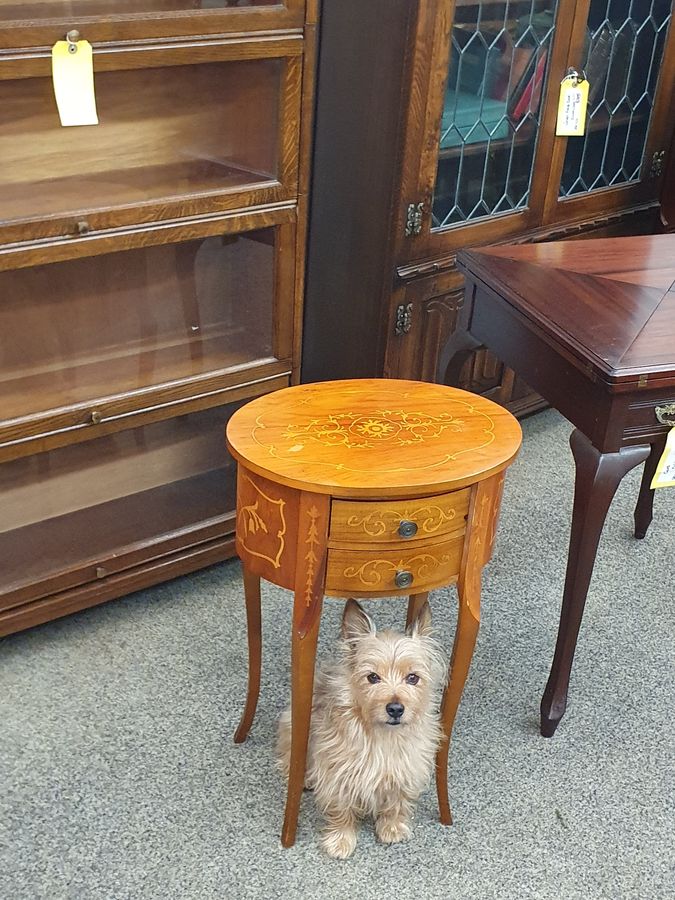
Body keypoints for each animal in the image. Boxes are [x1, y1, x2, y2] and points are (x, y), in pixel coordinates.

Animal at [278, 596, 446, 856]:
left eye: (413, 678)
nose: (395, 709)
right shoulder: (338, 771)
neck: (383, 735)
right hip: (293, 726)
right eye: (372, 677)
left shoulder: (407, 766)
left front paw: (392, 826)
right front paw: (341, 839)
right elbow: (341, 808)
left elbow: (397, 799)